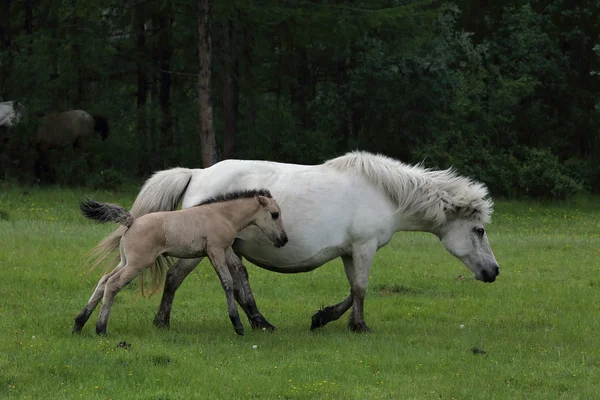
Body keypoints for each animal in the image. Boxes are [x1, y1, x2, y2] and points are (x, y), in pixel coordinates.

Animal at [71, 189, 288, 336]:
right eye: (275, 214)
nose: (283, 239)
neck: (223, 215)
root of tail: (132, 221)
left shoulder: (226, 250)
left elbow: (239, 271)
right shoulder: (216, 250)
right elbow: (226, 282)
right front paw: (237, 324)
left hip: (125, 262)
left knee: (103, 281)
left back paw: (79, 324)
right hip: (137, 264)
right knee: (112, 285)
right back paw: (100, 328)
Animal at [90, 150, 502, 332]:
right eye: (479, 231)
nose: (494, 272)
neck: (382, 193)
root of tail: (197, 173)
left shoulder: (350, 252)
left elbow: (352, 289)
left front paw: (324, 318)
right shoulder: (364, 249)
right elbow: (361, 290)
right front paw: (357, 326)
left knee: (233, 281)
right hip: (200, 251)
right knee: (179, 278)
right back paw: (167, 321)